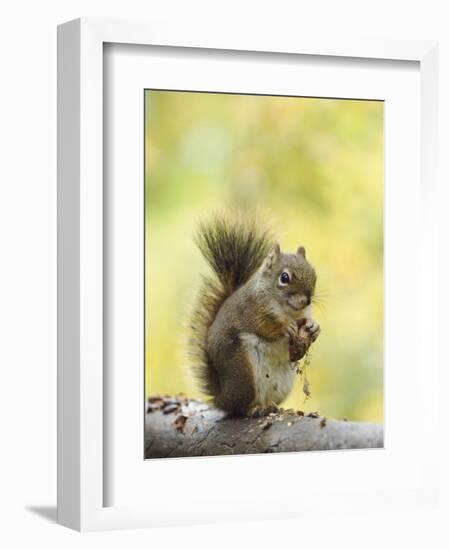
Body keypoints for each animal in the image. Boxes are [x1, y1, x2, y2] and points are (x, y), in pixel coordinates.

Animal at [188, 218, 318, 416]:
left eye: (314, 275)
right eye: (284, 277)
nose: (307, 300)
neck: (288, 310)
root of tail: (223, 399)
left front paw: (314, 327)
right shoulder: (251, 310)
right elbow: (264, 326)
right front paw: (285, 327)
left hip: (282, 384)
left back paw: (272, 406)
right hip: (243, 371)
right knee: (240, 407)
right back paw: (255, 408)